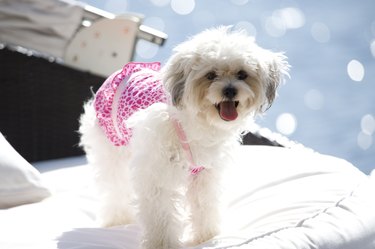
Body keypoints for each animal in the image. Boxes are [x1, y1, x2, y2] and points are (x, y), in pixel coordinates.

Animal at [79, 27, 290, 249]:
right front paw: (163, 244)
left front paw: (206, 236)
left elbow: (205, 205)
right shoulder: (158, 175)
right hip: (112, 149)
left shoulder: (205, 174)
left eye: (242, 74)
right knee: (116, 189)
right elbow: (161, 213)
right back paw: (117, 219)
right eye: (210, 75)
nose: (230, 90)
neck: (199, 121)